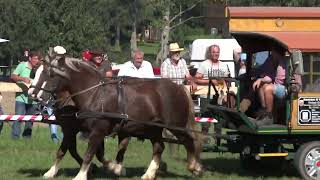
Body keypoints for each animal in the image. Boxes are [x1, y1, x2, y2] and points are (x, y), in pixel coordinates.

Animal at [28, 57, 201, 180]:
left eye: (50, 74)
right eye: (36, 72)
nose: (33, 93)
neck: (95, 94)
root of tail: (179, 87)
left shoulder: (95, 131)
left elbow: (88, 154)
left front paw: (81, 175)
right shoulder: (79, 129)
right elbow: (68, 151)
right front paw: (51, 172)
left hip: (175, 125)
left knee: (188, 141)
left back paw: (195, 167)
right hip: (153, 128)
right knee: (159, 147)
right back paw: (149, 174)